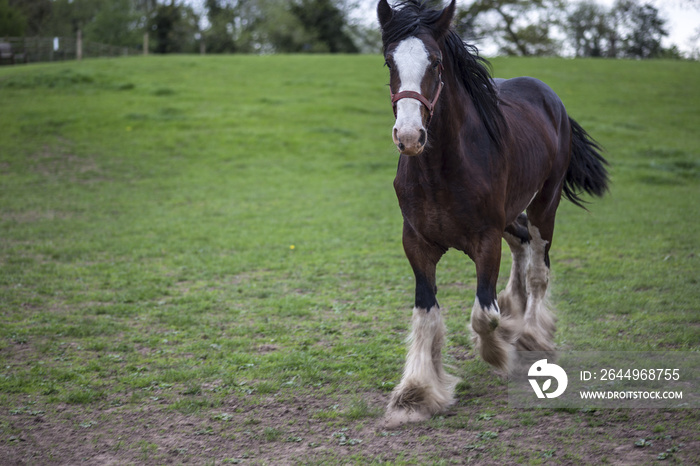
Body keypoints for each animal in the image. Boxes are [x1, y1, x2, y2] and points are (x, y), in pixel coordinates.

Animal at [378, 0, 608, 428]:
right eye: (389, 61)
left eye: (435, 62)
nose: (410, 136)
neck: (442, 168)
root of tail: (549, 97)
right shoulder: (416, 243)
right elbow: (426, 314)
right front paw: (417, 392)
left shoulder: (485, 240)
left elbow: (484, 315)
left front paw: (499, 351)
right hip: (511, 215)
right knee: (521, 245)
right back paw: (517, 313)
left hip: (544, 204)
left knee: (537, 268)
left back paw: (532, 335)